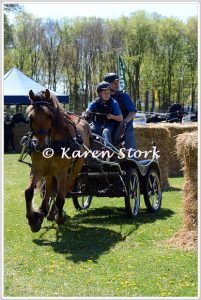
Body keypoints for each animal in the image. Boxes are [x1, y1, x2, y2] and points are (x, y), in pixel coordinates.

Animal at [24, 89, 91, 232]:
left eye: (49, 116)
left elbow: (60, 197)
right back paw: (45, 210)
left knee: (66, 189)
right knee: (49, 187)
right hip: (50, 171)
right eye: (31, 118)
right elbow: (29, 192)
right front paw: (33, 219)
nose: (41, 146)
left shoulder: (62, 171)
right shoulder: (37, 168)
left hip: (74, 170)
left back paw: (53, 211)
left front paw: (59, 218)